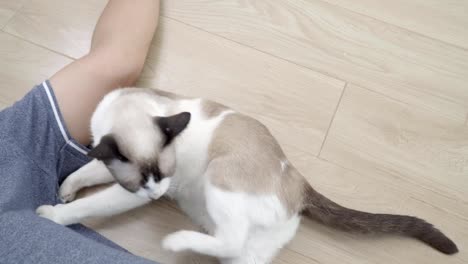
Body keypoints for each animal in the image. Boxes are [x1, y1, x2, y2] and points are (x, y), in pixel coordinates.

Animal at [35, 87, 458, 262]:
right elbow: (86, 172)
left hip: (219, 176)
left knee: (230, 240)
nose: (157, 197)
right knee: (232, 248)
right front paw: (64, 189)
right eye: (145, 182)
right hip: (245, 253)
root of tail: (300, 182)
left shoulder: (127, 195)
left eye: (163, 178)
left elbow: (88, 206)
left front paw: (52, 214)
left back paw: (175, 242)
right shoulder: (107, 157)